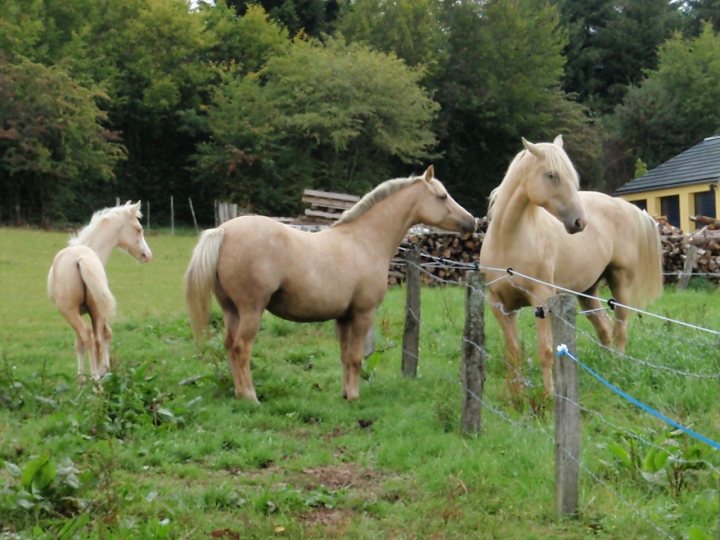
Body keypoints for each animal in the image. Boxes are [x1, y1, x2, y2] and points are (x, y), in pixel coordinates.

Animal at [47, 201, 153, 383]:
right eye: (139, 229)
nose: (147, 255)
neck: (92, 248)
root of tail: (80, 259)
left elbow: (88, 340)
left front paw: (95, 372)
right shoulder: (93, 312)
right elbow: (95, 339)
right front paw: (93, 374)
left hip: (72, 312)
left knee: (90, 337)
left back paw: (96, 379)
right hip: (90, 312)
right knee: (93, 339)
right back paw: (96, 379)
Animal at [185, 166, 476, 402]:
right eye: (442, 196)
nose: (471, 222)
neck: (363, 240)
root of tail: (223, 231)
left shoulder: (344, 317)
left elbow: (346, 357)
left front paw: (346, 394)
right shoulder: (362, 314)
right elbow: (356, 358)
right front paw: (355, 397)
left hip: (231, 310)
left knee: (229, 347)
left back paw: (238, 394)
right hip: (250, 310)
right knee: (241, 348)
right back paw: (250, 397)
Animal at [479, 136, 663, 401]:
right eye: (552, 175)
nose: (579, 222)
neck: (509, 241)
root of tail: (622, 205)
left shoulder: (541, 302)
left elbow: (545, 351)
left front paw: (548, 397)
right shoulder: (500, 305)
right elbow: (513, 352)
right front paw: (517, 396)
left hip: (620, 282)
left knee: (620, 328)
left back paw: (617, 367)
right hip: (587, 291)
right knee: (604, 329)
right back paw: (605, 368)